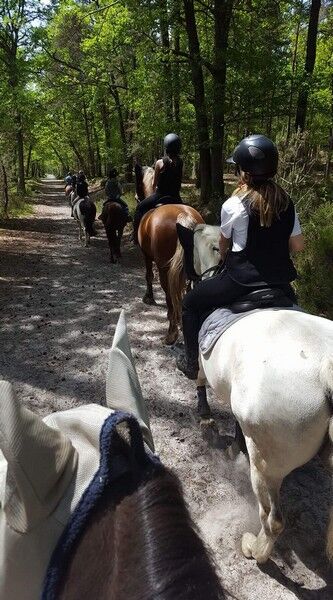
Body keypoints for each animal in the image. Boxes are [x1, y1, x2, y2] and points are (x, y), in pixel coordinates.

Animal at [134, 166, 202, 344]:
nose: (136, 197)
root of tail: (183, 216)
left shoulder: (146, 255)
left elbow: (148, 276)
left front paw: (149, 297)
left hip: (164, 269)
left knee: (169, 295)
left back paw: (171, 333)